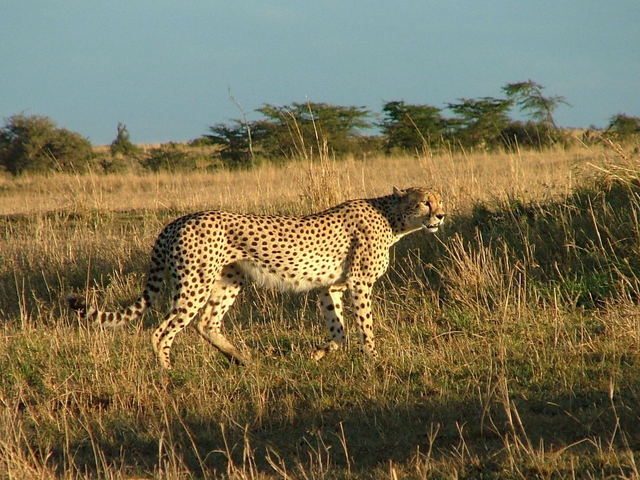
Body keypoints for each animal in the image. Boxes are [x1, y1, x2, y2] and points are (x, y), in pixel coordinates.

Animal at [66, 187, 444, 368]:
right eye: (425, 202)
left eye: (441, 200)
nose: (441, 215)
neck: (393, 217)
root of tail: (179, 219)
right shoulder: (359, 283)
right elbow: (365, 326)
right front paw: (374, 359)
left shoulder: (330, 286)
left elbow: (338, 331)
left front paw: (317, 355)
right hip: (195, 284)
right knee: (163, 330)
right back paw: (168, 373)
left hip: (228, 281)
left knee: (206, 324)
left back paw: (244, 360)